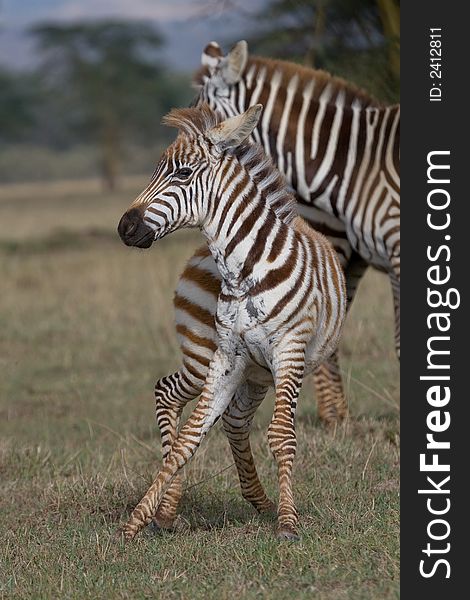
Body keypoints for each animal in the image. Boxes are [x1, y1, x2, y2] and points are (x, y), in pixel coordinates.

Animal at [117, 103, 346, 540]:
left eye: (182, 173)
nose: (125, 227)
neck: (241, 272)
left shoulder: (288, 351)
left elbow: (282, 434)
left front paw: (287, 522)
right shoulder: (227, 356)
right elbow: (190, 437)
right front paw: (137, 520)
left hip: (256, 372)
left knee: (235, 421)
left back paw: (262, 503)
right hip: (208, 359)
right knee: (174, 396)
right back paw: (173, 509)